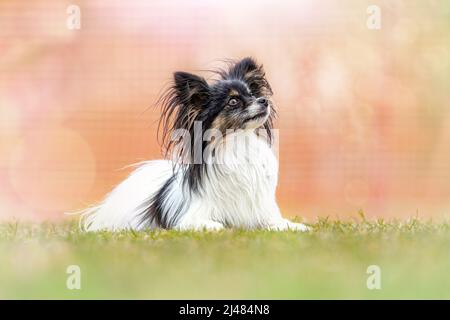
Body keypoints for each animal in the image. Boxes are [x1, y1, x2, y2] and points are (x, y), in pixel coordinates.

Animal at [81, 57, 310, 231]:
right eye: (233, 101)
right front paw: (219, 226)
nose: (264, 100)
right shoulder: (190, 219)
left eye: (252, 94)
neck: (237, 144)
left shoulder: (263, 213)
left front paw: (296, 227)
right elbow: (213, 224)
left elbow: (278, 223)